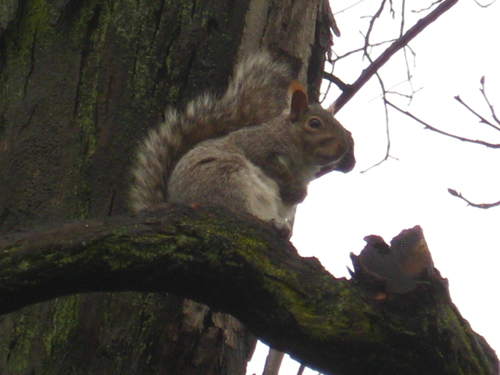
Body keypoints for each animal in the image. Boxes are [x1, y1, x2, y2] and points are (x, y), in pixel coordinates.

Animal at [129, 51, 356, 231]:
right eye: (314, 123)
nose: (344, 148)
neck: (302, 164)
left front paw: (299, 194)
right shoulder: (257, 144)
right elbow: (268, 163)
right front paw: (290, 184)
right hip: (226, 180)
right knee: (241, 209)